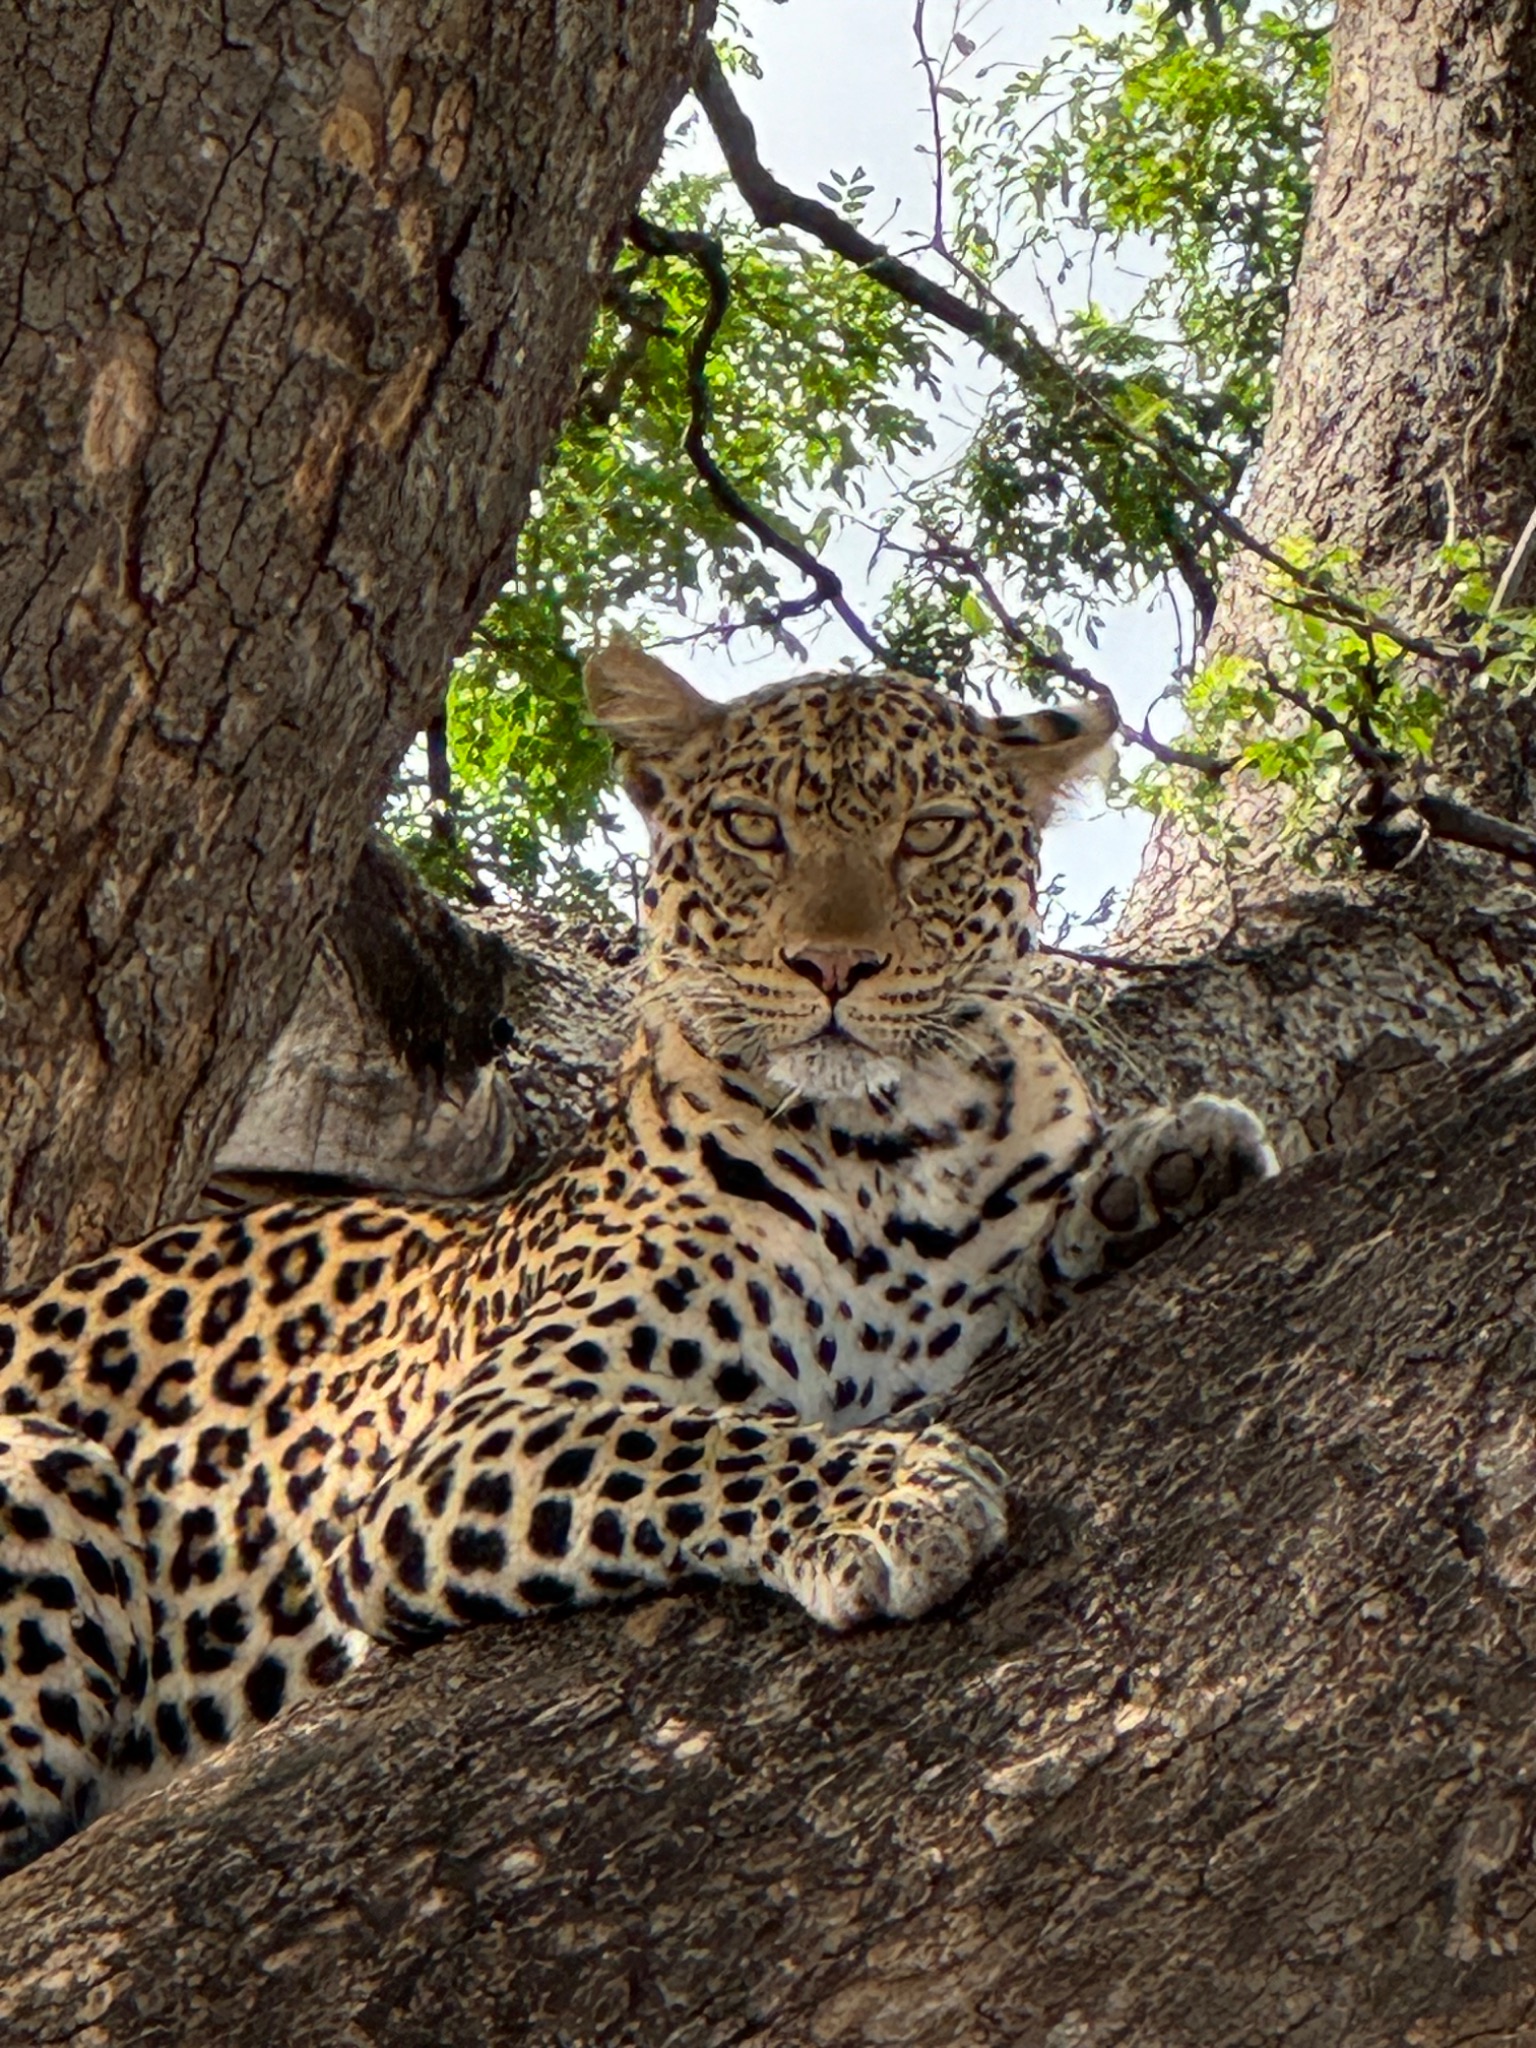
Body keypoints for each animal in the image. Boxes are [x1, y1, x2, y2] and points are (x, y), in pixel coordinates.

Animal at [0, 646, 1276, 1874]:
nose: (834, 965)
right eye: (756, 827)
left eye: (930, 832)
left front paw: (1154, 1173)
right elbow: (700, 1441)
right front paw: (895, 1496)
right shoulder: (475, 1433)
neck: (893, 1150)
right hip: (43, 1475)